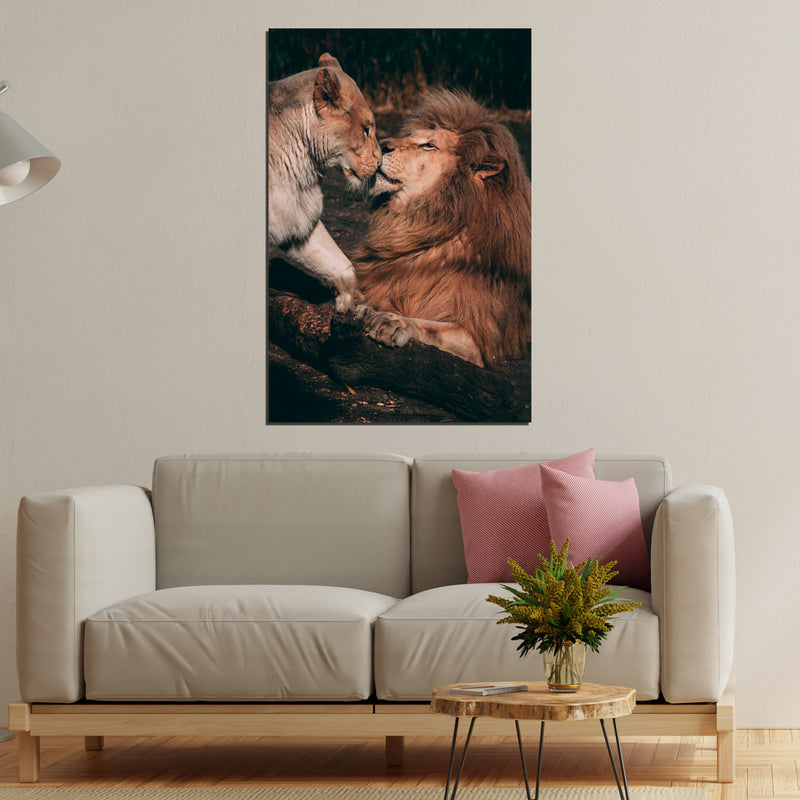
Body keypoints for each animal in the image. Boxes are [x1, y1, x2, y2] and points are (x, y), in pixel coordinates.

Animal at [353, 89, 531, 368]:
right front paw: (366, 309)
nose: (381, 144)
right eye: (410, 136)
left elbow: (430, 327)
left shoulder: (481, 340)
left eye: (428, 145)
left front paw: (392, 321)